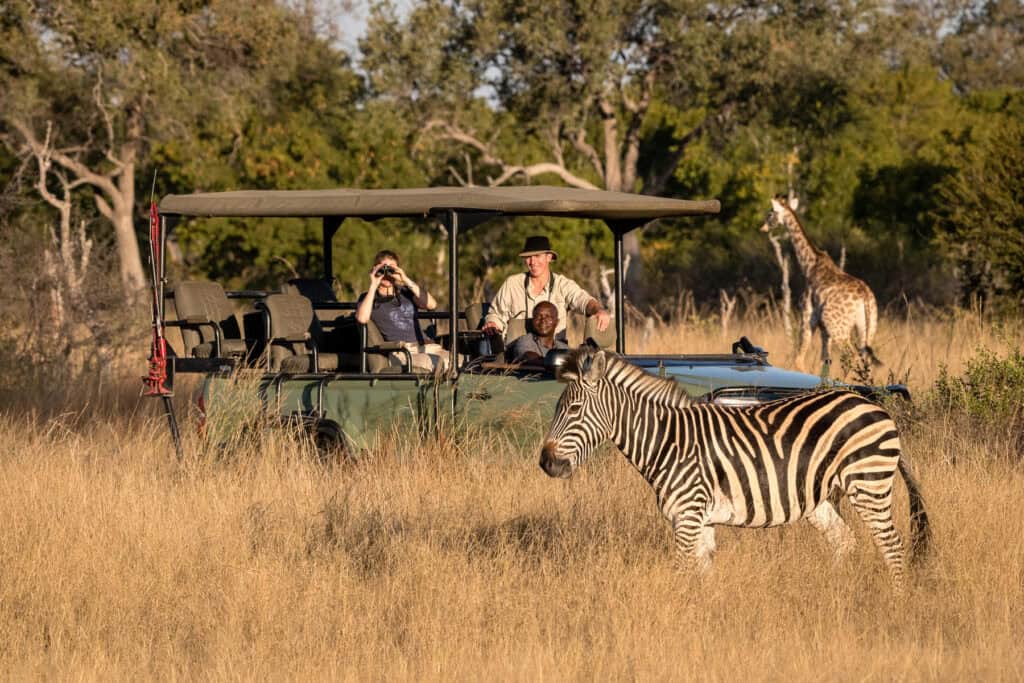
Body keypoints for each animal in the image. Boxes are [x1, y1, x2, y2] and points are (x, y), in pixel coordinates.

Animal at [539, 347, 930, 591]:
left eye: (573, 410)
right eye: (558, 408)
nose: (546, 463)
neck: (669, 441)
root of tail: (875, 406)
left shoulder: (687, 516)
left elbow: (681, 571)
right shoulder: (701, 520)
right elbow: (702, 573)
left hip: (868, 484)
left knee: (892, 546)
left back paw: (896, 603)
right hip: (821, 500)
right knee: (845, 541)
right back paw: (834, 594)